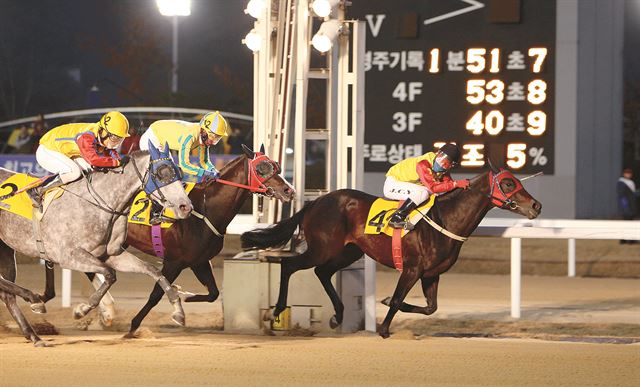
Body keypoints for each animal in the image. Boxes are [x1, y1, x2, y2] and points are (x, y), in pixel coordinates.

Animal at [0, 144, 191, 348]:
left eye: (179, 172)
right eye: (161, 174)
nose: (186, 206)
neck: (98, 203)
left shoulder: (111, 254)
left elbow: (153, 271)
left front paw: (178, 312)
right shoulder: (69, 255)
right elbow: (110, 274)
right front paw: (82, 310)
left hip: (6, 249)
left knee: (7, 294)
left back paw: (34, 335)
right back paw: (35, 300)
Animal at [37, 146, 292, 336]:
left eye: (276, 165)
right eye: (262, 168)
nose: (289, 191)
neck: (205, 210)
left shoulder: (199, 261)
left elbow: (212, 293)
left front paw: (184, 295)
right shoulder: (174, 261)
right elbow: (156, 294)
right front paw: (135, 325)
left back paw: (103, 312)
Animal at [242, 162, 544, 338]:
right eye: (508, 183)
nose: (536, 205)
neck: (446, 219)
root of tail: (316, 202)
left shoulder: (431, 274)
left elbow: (431, 308)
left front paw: (385, 304)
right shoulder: (412, 269)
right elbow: (399, 300)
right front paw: (385, 327)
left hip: (348, 251)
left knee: (322, 273)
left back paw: (337, 315)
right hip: (323, 248)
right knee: (290, 266)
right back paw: (277, 310)